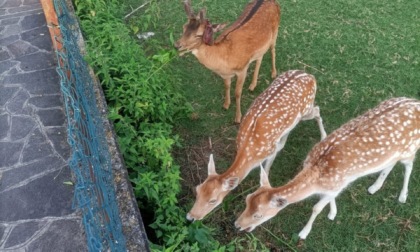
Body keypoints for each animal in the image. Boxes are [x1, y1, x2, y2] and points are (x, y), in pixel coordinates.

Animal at [186, 70, 328, 221]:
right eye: (197, 190)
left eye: (213, 200)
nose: (190, 217)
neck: (249, 153)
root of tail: (309, 75)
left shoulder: (270, 151)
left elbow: (266, 170)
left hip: (306, 109)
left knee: (317, 110)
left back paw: (323, 136)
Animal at [236, 97, 420, 240]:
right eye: (247, 200)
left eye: (258, 215)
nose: (237, 225)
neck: (317, 173)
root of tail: (416, 102)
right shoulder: (335, 186)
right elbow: (330, 198)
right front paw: (333, 212)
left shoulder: (337, 184)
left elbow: (316, 208)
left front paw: (304, 232)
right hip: (395, 153)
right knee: (390, 164)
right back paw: (374, 187)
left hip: (410, 149)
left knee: (409, 165)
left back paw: (402, 196)